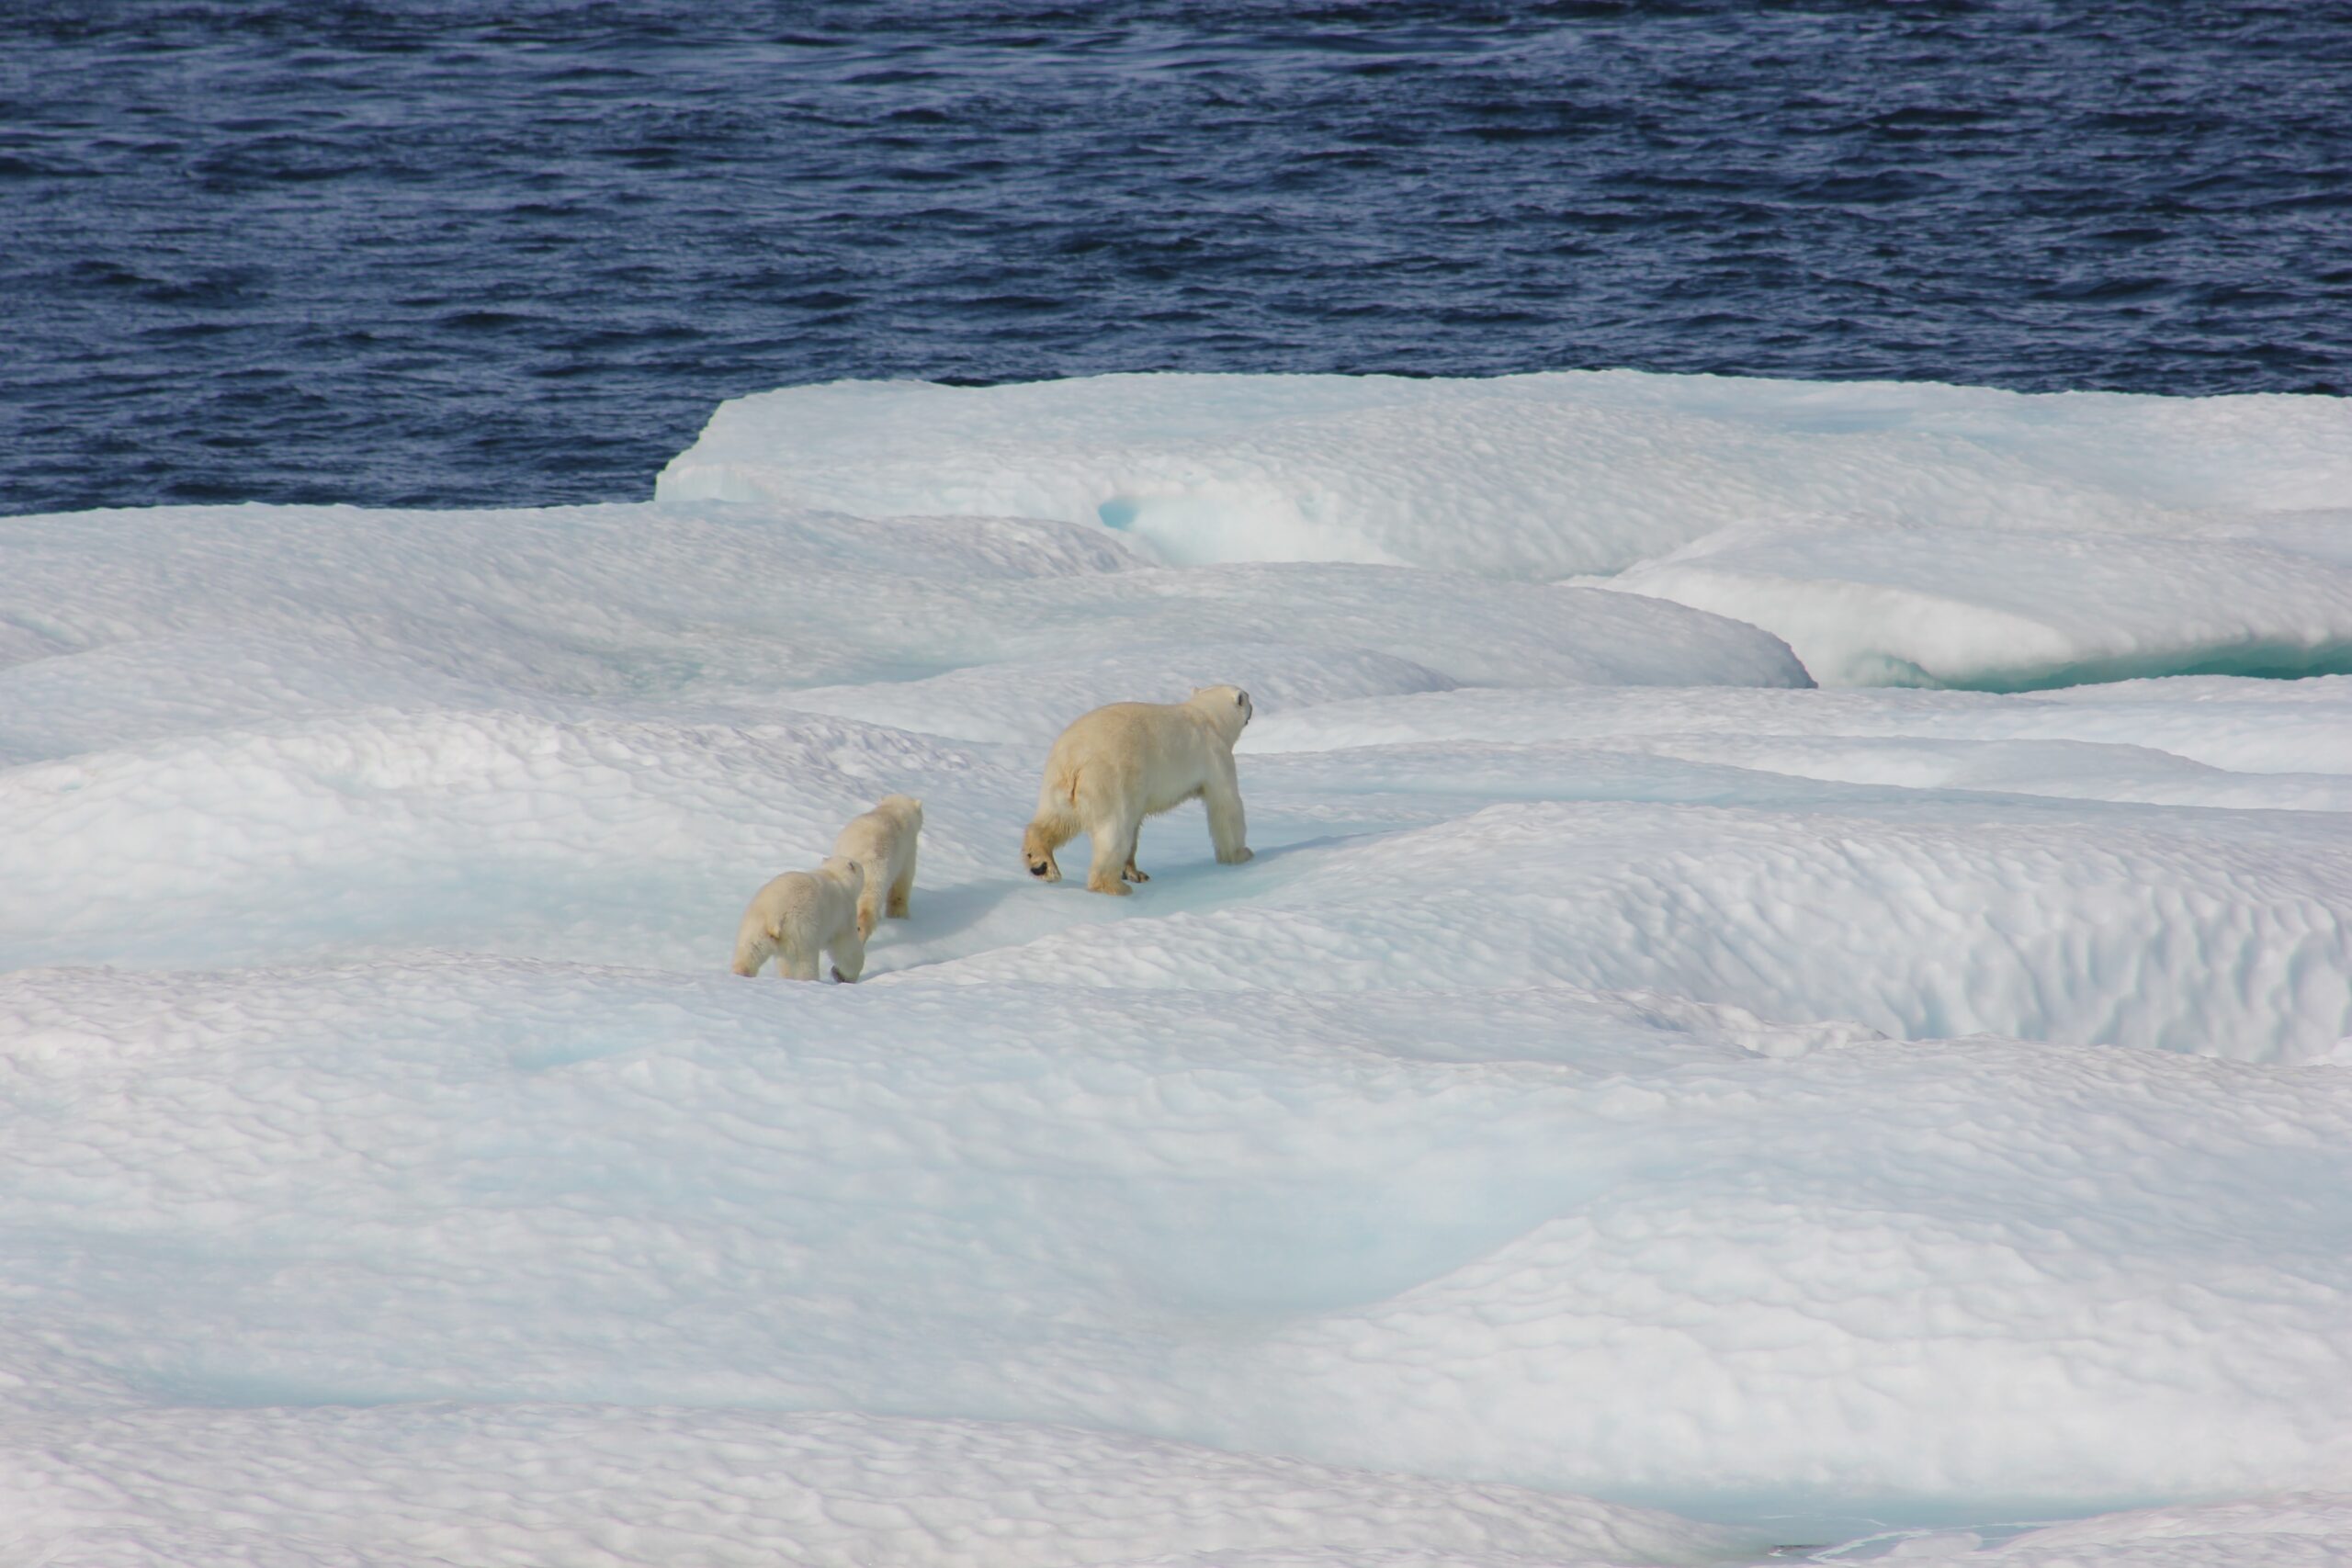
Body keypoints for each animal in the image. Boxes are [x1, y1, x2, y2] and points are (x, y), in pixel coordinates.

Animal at [1025, 686, 1261, 893]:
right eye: (1247, 697)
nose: (1253, 706)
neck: (1208, 716)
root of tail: (1075, 757)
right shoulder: (1215, 756)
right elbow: (1226, 806)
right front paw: (1242, 854)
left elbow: (1136, 825)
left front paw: (1134, 872)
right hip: (1110, 780)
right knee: (1113, 833)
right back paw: (1114, 887)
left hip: (1058, 783)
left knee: (1055, 820)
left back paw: (1040, 864)